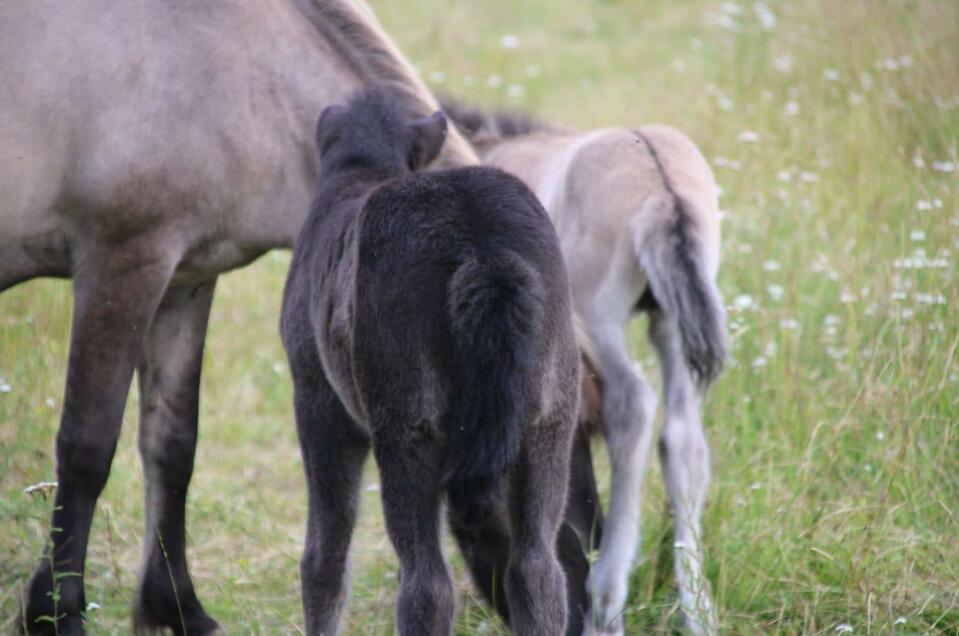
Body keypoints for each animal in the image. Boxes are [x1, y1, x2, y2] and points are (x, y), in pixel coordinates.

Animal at [0, 2, 478, 632]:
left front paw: (176, 607)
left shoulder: (184, 281)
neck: (230, 70)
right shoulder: (122, 263)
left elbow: (172, 445)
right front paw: (55, 611)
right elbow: (86, 449)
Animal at [278, 85, 576, 636]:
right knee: (538, 570)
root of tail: (484, 252)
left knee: (426, 583)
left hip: (408, 430)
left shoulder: (318, 403)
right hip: (548, 423)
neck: (364, 168)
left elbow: (325, 553)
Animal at [444, 102, 728, 632]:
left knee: (633, 408)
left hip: (600, 316)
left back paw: (606, 594)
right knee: (681, 439)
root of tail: (663, 191)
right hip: (671, 323)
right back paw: (697, 609)